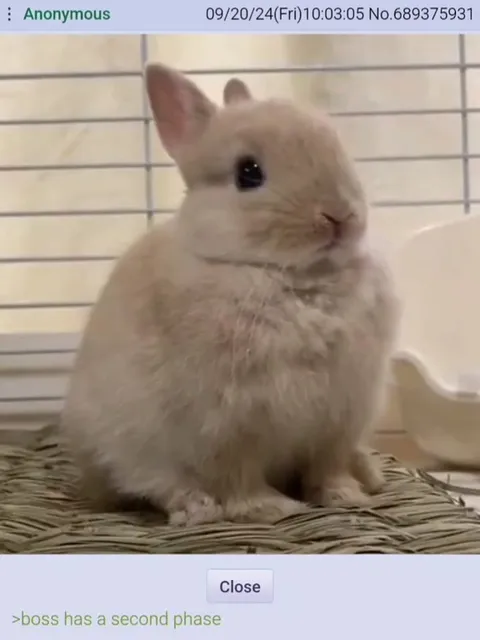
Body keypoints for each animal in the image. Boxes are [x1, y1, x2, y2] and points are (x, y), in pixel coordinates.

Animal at [60, 63, 399, 526]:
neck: (295, 279)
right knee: (153, 484)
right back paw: (195, 508)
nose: (340, 216)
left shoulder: (339, 419)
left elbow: (327, 467)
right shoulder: (228, 425)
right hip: (125, 445)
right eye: (248, 173)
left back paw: (371, 475)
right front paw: (268, 508)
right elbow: (238, 477)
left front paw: (345, 497)